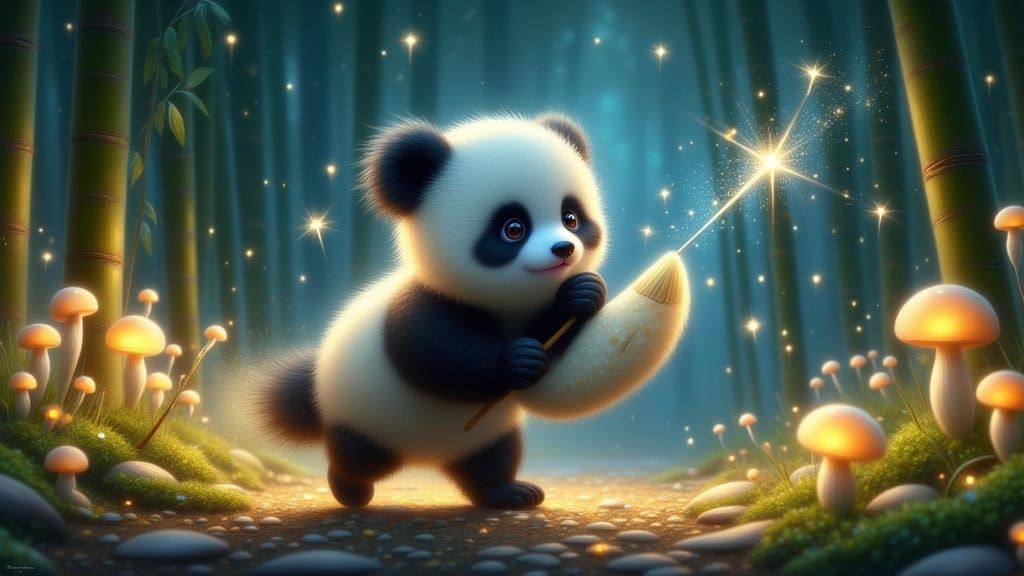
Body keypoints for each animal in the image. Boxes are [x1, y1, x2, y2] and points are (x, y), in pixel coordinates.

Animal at [258, 114, 608, 510]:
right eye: (513, 229)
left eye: (571, 217)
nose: (564, 249)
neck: (503, 301)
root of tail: (424, 458)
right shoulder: (420, 303)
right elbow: (432, 354)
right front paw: (517, 358)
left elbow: (553, 342)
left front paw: (582, 294)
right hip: (362, 413)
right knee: (357, 456)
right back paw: (348, 488)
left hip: (485, 434)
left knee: (493, 458)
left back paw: (509, 492)